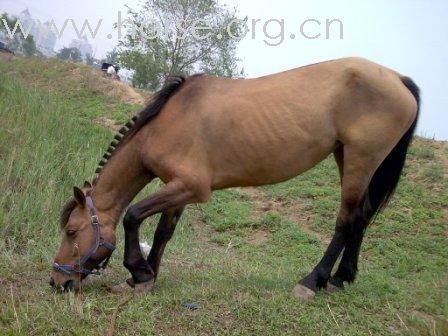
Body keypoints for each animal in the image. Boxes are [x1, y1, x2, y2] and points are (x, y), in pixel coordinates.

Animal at [50, 57, 420, 300]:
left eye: (72, 231)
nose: (56, 281)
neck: (167, 121)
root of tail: (397, 77)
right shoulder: (179, 189)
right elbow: (162, 232)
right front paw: (147, 277)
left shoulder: (191, 188)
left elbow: (132, 216)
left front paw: (138, 271)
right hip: (351, 159)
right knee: (362, 216)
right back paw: (342, 278)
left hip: (361, 160)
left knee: (346, 221)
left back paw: (312, 281)